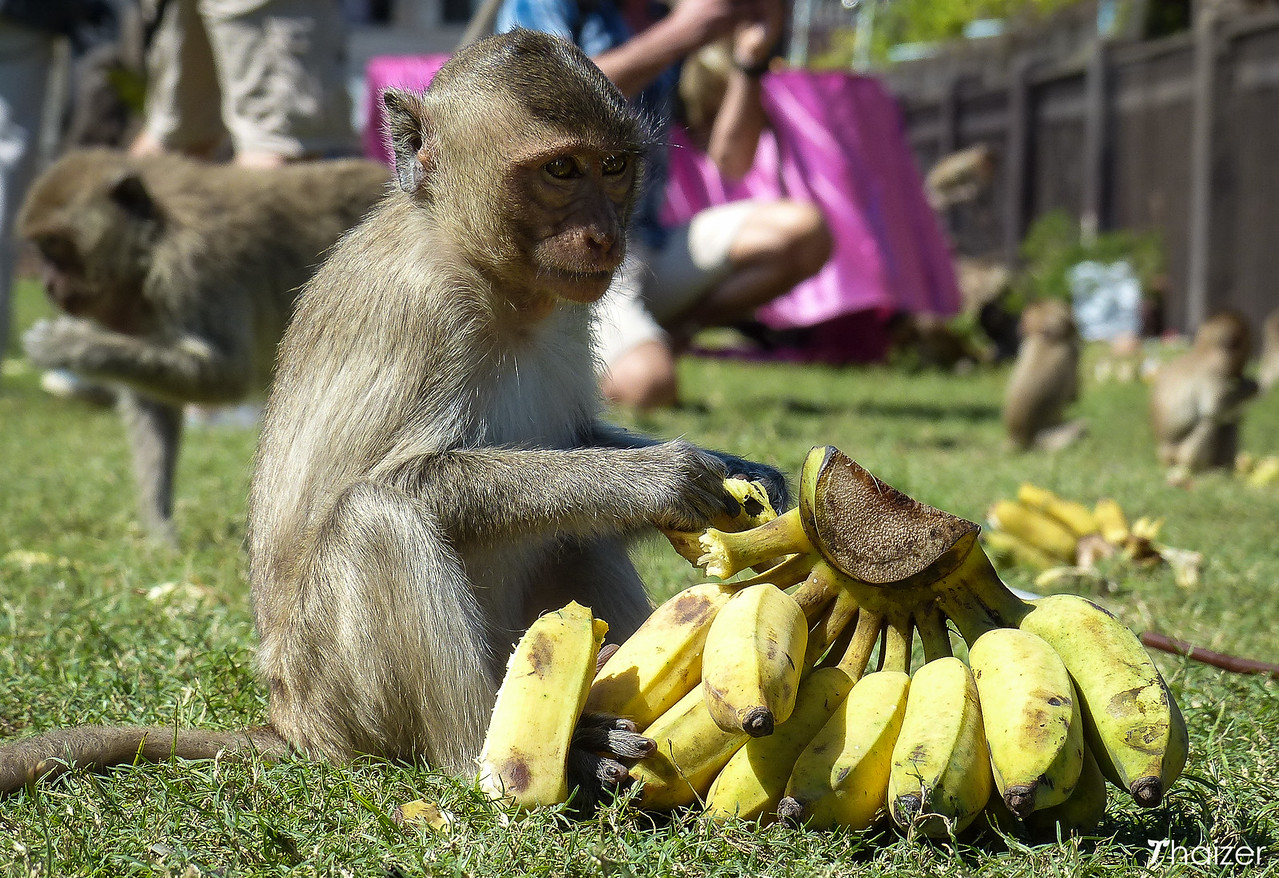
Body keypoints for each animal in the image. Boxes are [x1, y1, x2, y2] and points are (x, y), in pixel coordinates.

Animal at [18, 149, 391, 542]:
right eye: (43, 248)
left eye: (53, 247)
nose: (47, 284)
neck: (155, 240)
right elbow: (153, 404)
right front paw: (159, 530)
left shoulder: (196, 268)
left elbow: (225, 376)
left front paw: (64, 343)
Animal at [1002, 298, 1085, 451]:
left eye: (1024, 319)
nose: (1019, 327)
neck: (1047, 339)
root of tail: (1019, 440)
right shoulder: (1073, 352)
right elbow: (1073, 397)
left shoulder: (1026, 345)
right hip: (1047, 438)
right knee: (1082, 427)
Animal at [1150, 310, 1257, 475]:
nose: (1240, 374)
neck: (1203, 350)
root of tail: (1164, 455)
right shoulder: (1216, 368)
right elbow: (1214, 408)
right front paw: (1250, 386)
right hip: (1182, 454)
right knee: (1211, 422)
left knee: (1227, 423)